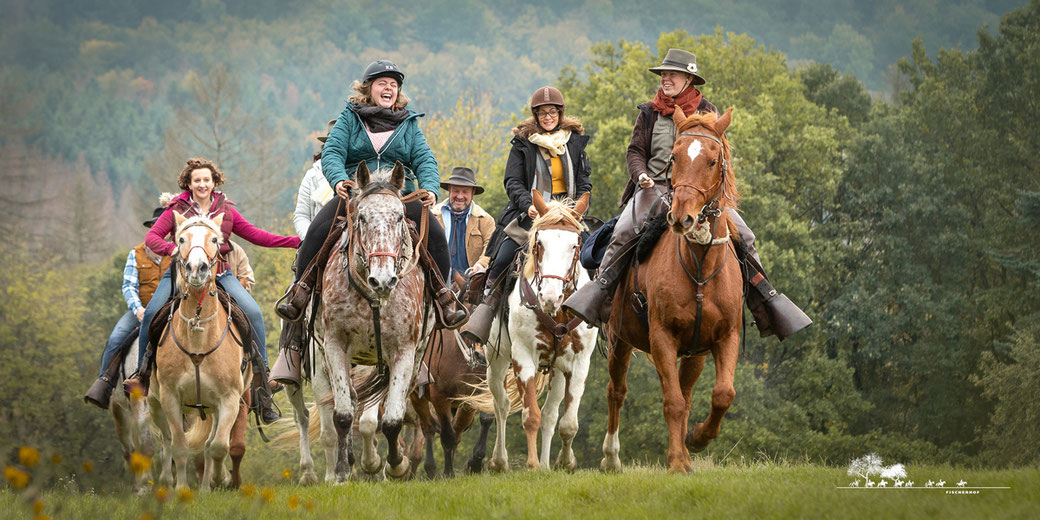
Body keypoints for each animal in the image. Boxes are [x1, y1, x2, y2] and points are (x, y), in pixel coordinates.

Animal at [147, 213, 252, 488]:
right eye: (181, 239)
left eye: (215, 239)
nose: (197, 268)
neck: (198, 335)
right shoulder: (170, 397)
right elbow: (180, 447)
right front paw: (182, 489)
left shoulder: (229, 400)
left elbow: (216, 447)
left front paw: (217, 480)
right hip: (154, 403)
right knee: (166, 442)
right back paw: (166, 481)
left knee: (208, 445)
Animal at [316, 162, 430, 482]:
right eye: (362, 217)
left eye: (400, 216)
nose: (383, 279)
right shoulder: (334, 346)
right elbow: (343, 415)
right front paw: (342, 470)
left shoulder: (404, 351)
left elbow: (391, 420)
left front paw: (396, 465)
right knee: (353, 402)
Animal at [476, 191, 599, 472]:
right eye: (539, 243)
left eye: (575, 245)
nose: (550, 298)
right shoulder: (524, 358)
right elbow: (531, 415)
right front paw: (532, 465)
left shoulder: (578, 363)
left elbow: (567, 422)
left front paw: (565, 462)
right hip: (496, 360)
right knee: (501, 405)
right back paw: (500, 461)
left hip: (558, 370)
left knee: (551, 415)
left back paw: (545, 465)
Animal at [603, 109, 748, 476]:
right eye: (674, 158)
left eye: (713, 160)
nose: (682, 217)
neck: (699, 269)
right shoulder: (662, 337)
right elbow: (672, 402)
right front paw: (678, 462)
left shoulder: (725, 337)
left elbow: (722, 394)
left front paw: (696, 440)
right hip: (619, 341)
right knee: (617, 391)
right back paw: (611, 457)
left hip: (693, 354)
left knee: (687, 392)